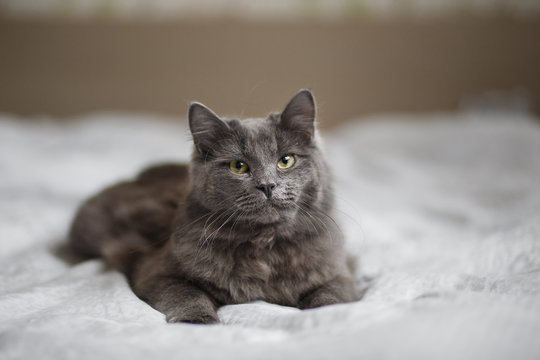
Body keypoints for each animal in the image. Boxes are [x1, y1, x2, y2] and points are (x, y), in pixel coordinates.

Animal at [68, 89, 358, 324]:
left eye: (285, 161)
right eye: (238, 166)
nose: (267, 185)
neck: (264, 245)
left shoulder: (339, 273)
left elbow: (331, 296)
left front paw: (326, 315)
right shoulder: (155, 273)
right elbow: (187, 294)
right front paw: (198, 321)